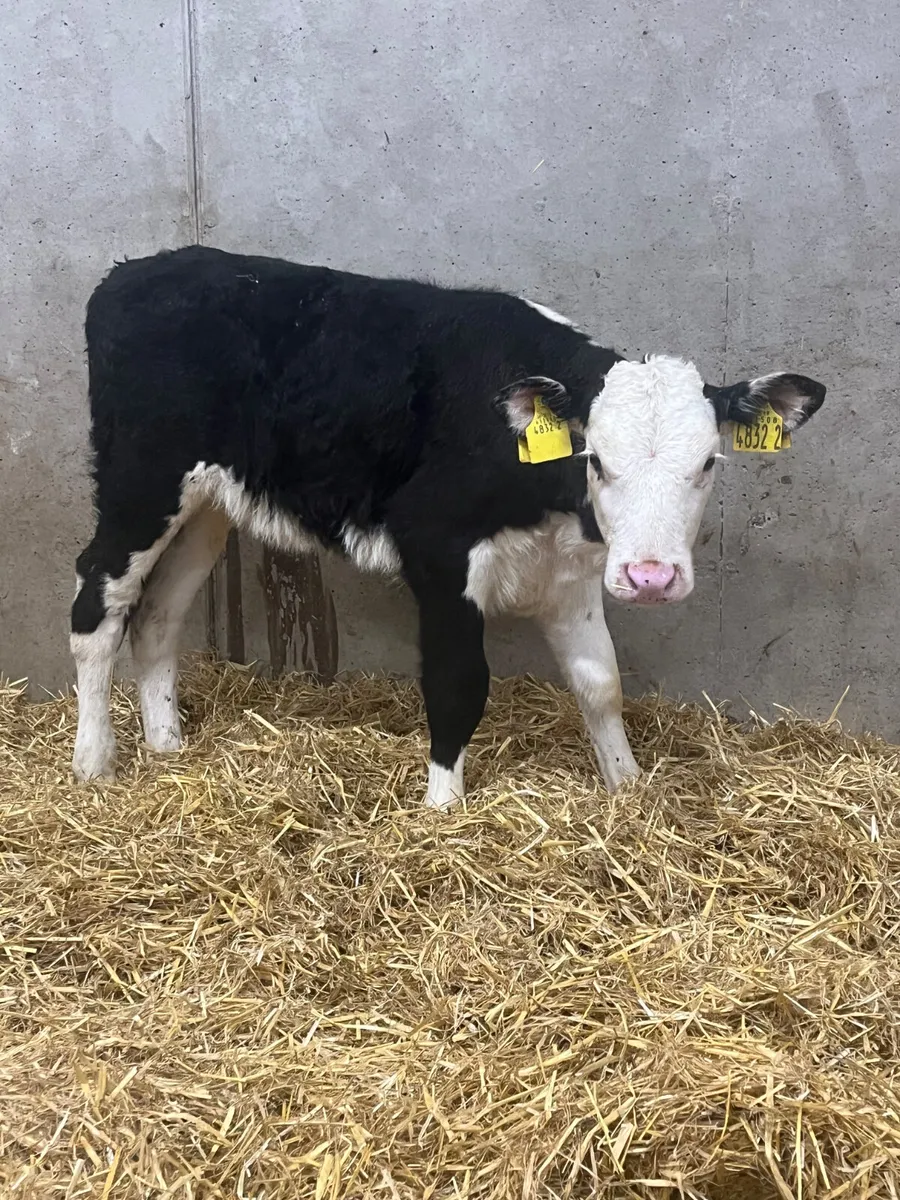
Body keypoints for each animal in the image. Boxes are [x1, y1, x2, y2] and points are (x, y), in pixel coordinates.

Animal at [70, 246, 826, 808]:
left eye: (708, 463)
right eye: (597, 460)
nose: (651, 576)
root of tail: (131, 272)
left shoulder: (571, 572)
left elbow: (601, 683)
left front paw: (627, 788)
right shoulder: (436, 550)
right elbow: (458, 683)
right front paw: (441, 809)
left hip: (205, 506)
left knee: (157, 616)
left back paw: (168, 749)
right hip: (140, 482)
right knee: (96, 605)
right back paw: (94, 762)